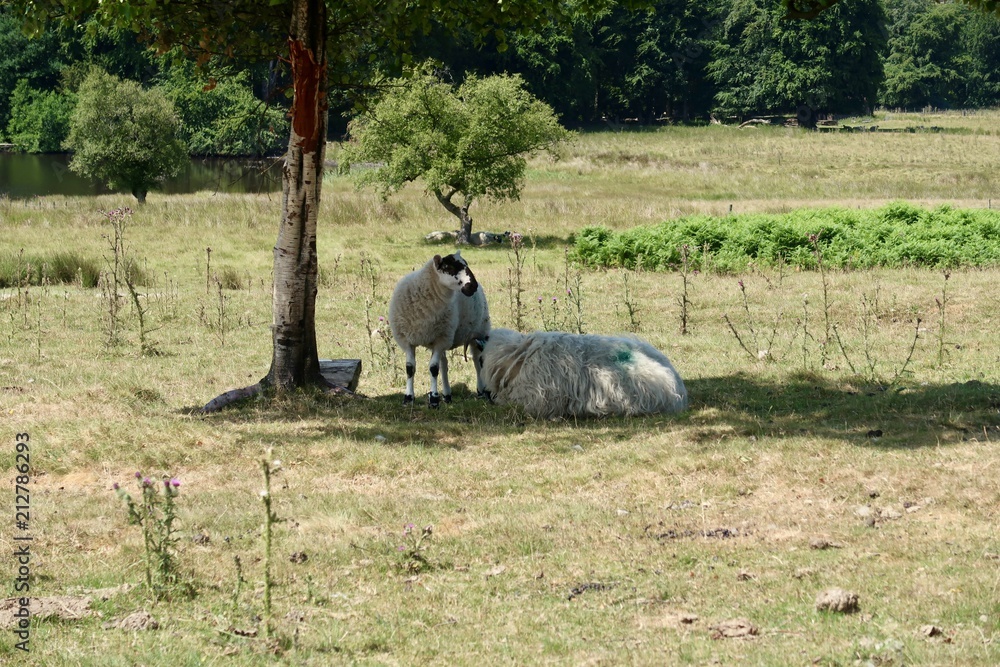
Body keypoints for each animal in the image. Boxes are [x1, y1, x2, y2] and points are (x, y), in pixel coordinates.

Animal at [389, 252, 491, 407]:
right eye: (449, 267)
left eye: (466, 264)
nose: (473, 286)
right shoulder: (408, 341)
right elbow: (410, 368)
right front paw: (408, 398)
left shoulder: (441, 339)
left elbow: (433, 368)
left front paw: (434, 399)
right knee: (444, 364)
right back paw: (447, 395)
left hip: (478, 331)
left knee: (477, 361)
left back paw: (481, 391)